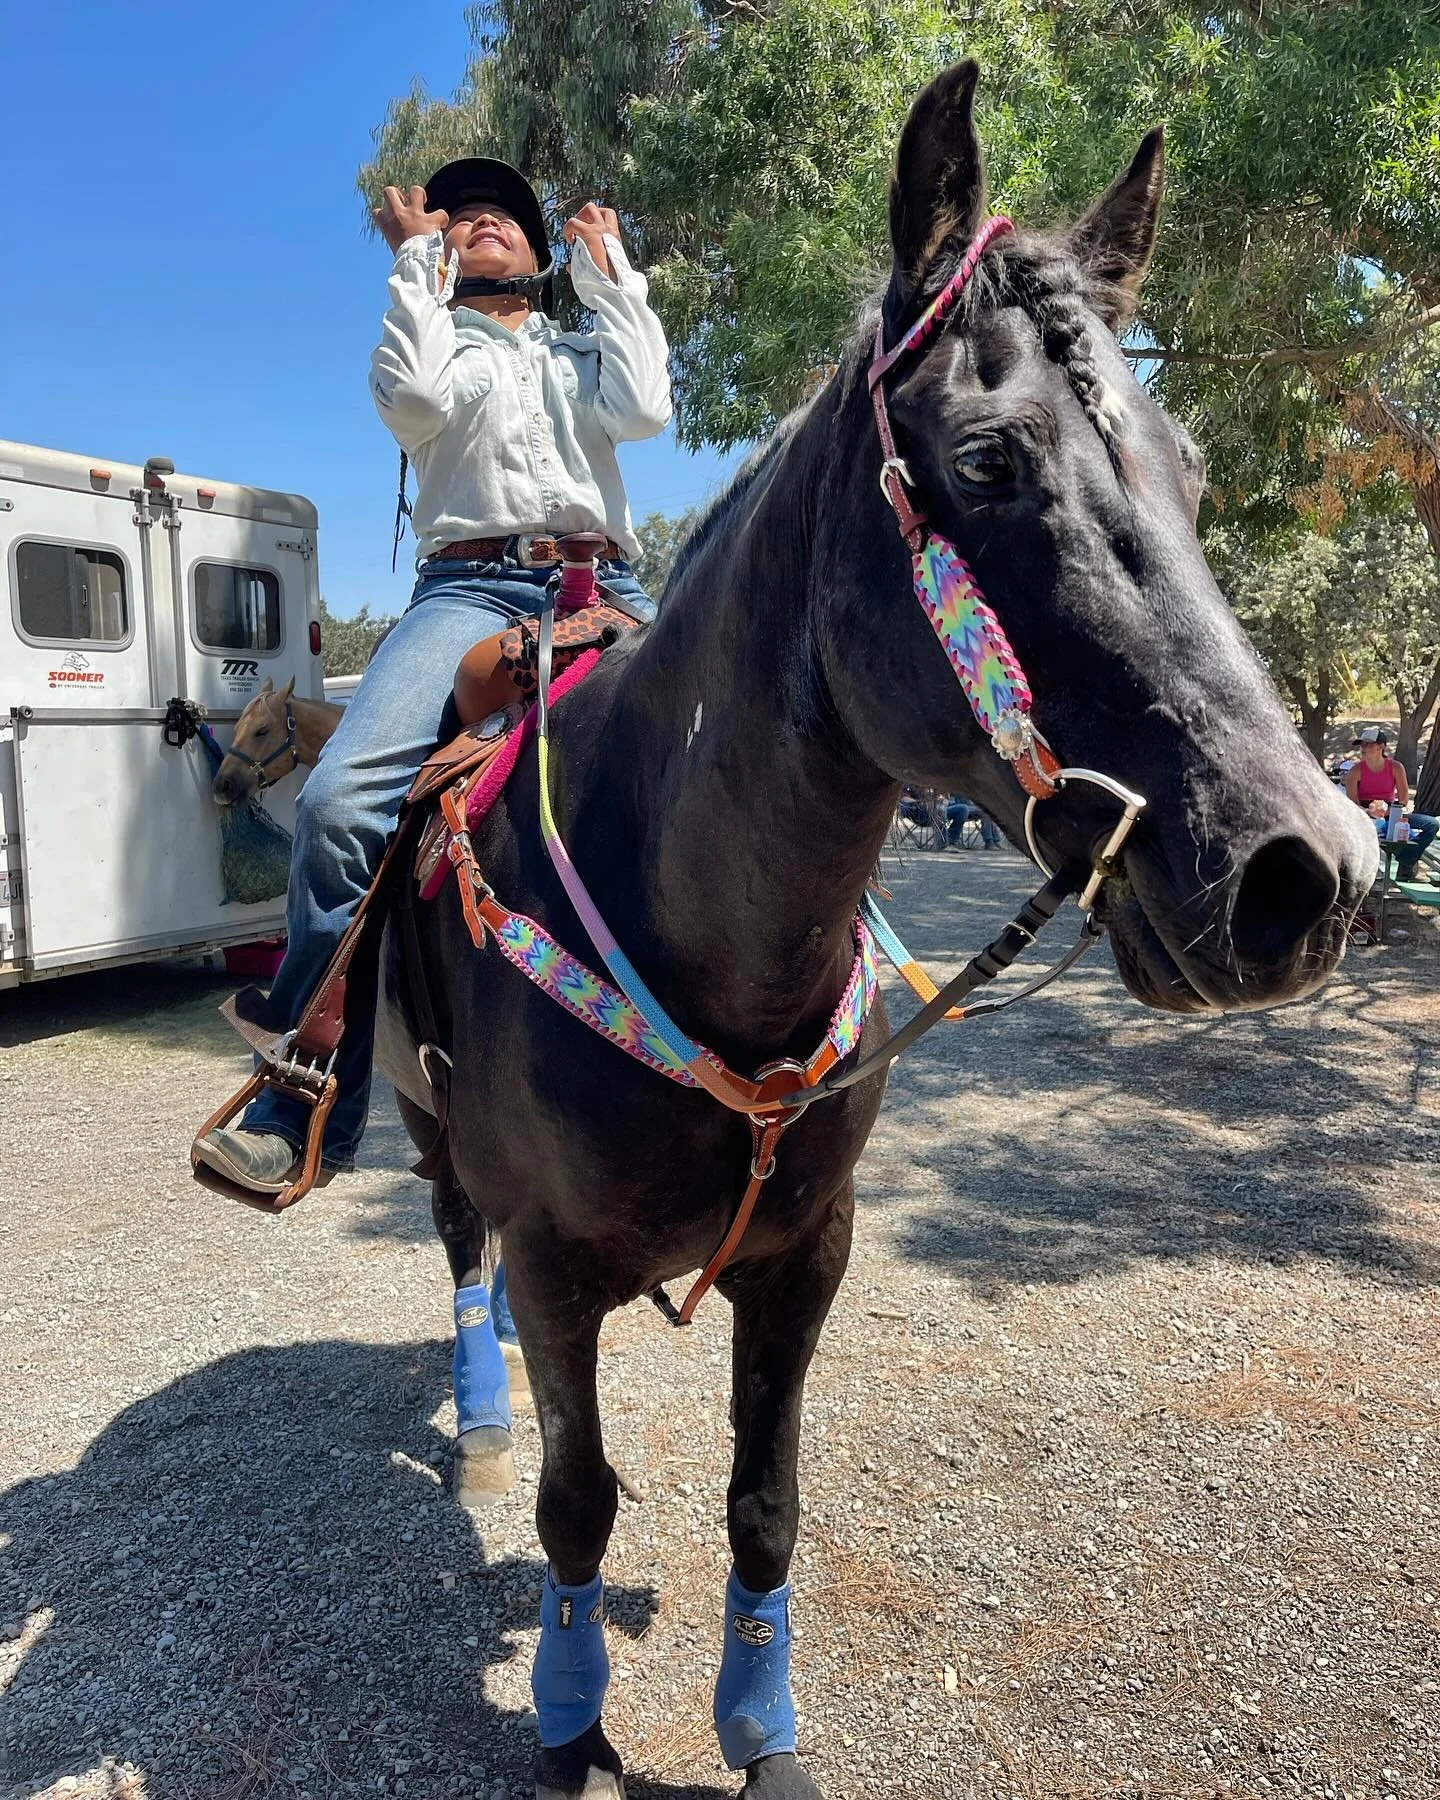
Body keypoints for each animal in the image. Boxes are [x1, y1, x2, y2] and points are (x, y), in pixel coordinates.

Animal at [373, 62, 1376, 1800]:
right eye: (986, 463)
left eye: (1188, 473)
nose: (1303, 873)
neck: (691, 926)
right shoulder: (559, 1266)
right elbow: (579, 1504)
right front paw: (570, 1723)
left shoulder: (806, 1259)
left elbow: (765, 1507)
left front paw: (759, 1733)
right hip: (430, 1136)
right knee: (458, 1259)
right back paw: (482, 1417)